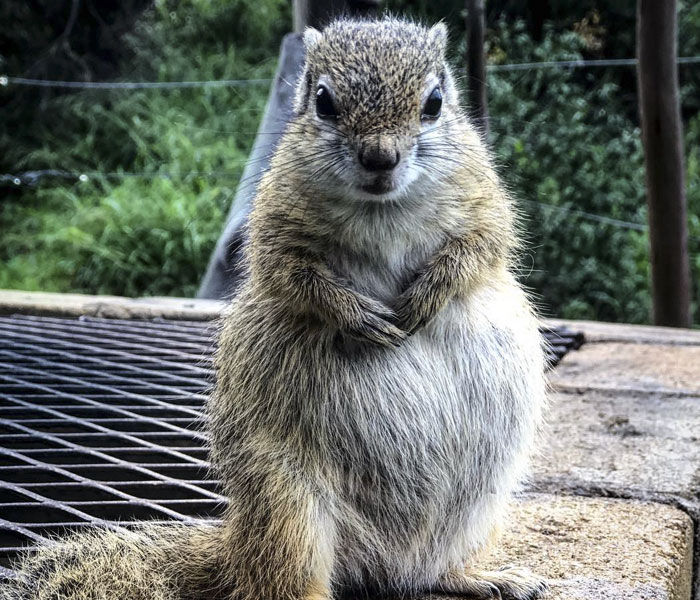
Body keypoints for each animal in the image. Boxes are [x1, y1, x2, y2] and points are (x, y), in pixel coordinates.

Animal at [2, 18, 548, 600]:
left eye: (435, 103)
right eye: (323, 102)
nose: (380, 158)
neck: (382, 208)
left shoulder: (486, 203)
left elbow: (480, 248)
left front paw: (429, 293)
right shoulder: (274, 226)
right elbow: (294, 277)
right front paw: (356, 316)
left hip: (477, 511)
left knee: (428, 573)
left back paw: (483, 576)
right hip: (288, 504)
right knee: (285, 577)